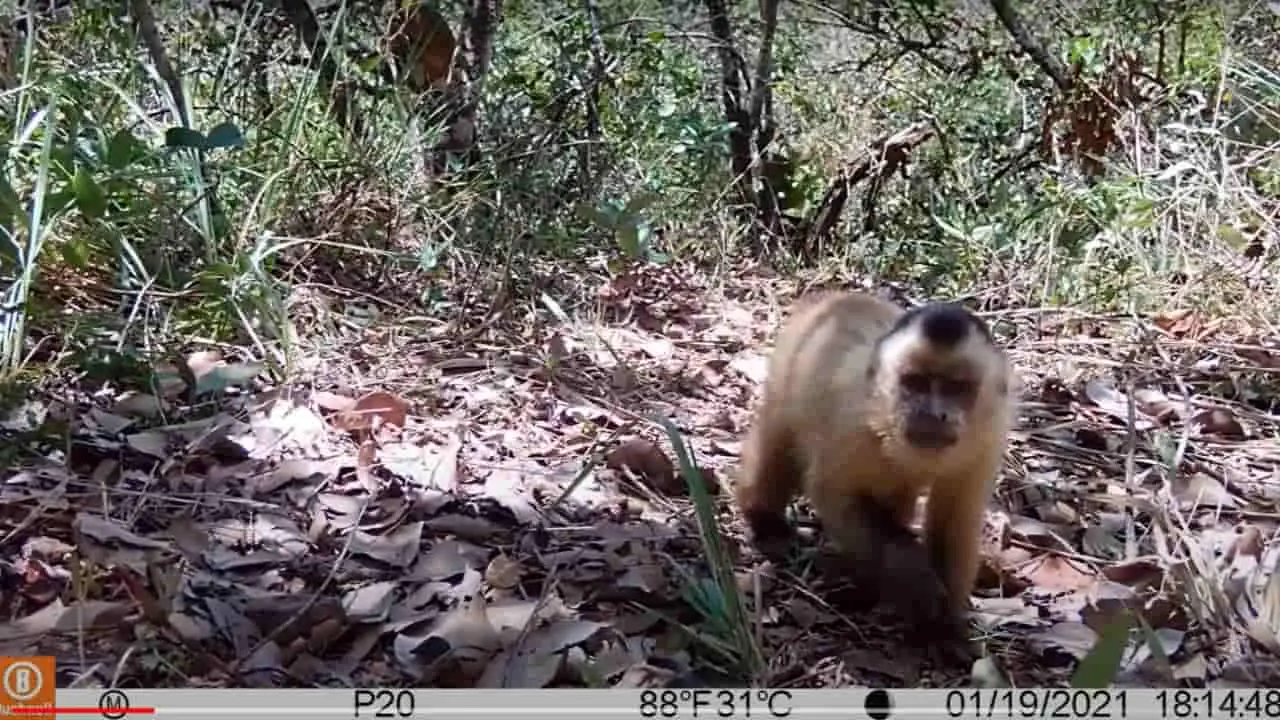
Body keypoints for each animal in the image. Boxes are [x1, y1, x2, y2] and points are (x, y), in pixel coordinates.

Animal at [733, 290, 1015, 657]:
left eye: (958, 388)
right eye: (915, 383)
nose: (933, 413)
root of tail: (832, 296)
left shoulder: (988, 437)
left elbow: (955, 520)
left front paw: (946, 627)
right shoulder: (852, 422)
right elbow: (833, 493)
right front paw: (911, 573)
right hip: (787, 365)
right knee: (780, 443)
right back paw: (766, 521)